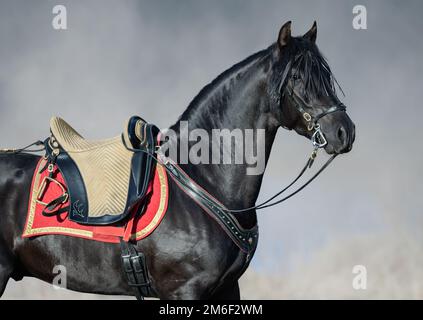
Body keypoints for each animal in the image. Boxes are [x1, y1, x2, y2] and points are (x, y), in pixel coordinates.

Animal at [0, 22, 354, 300]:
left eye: (326, 75)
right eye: (296, 77)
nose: (344, 131)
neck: (204, 179)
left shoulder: (227, 289)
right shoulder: (184, 289)